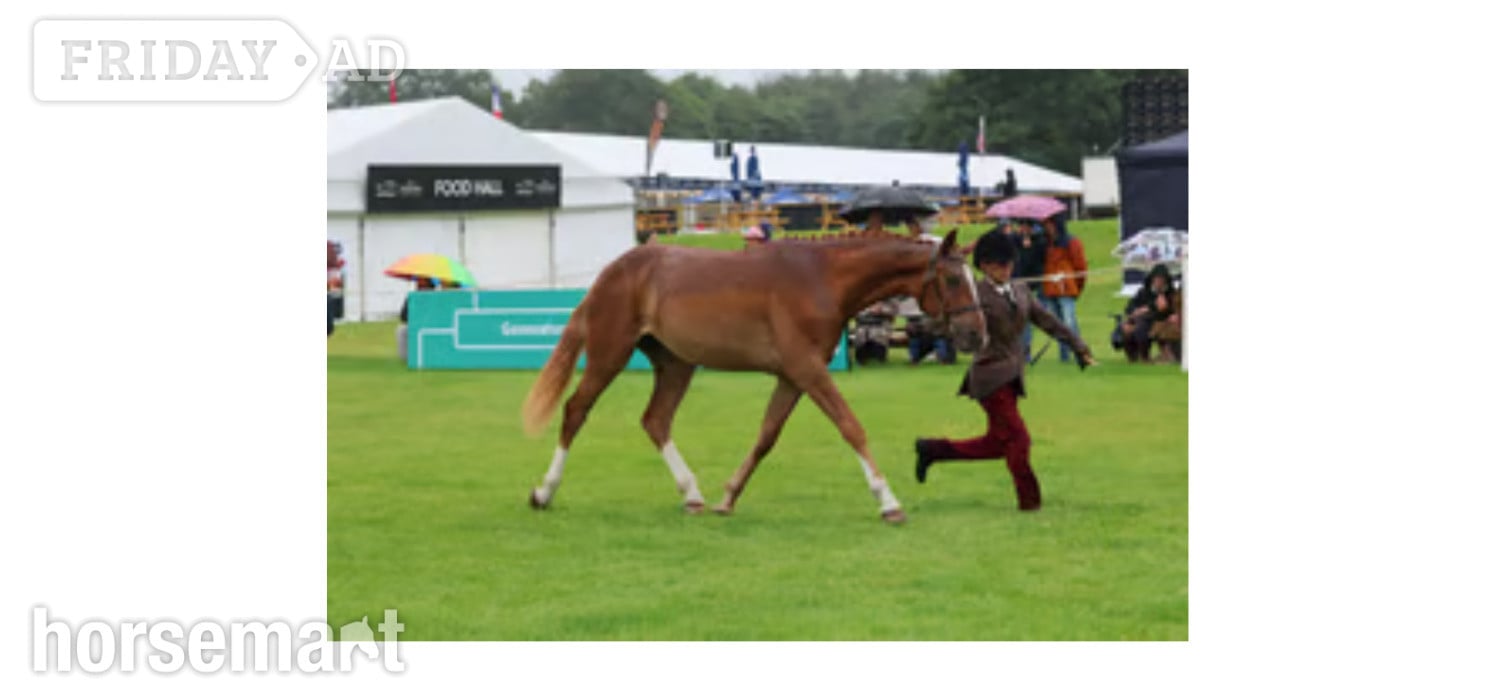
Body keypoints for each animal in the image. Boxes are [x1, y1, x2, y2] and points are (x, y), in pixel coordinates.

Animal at [520, 229, 986, 524]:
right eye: (951, 279)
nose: (976, 335)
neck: (822, 279)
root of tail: (614, 270)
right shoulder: (808, 369)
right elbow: (851, 427)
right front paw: (888, 503)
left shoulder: (792, 376)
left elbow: (766, 437)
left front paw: (727, 498)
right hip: (609, 353)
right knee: (576, 410)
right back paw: (544, 492)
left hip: (676, 363)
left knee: (655, 420)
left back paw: (692, 496)